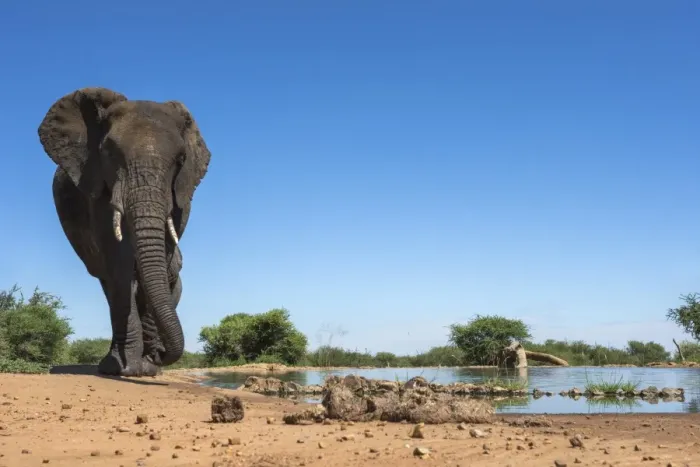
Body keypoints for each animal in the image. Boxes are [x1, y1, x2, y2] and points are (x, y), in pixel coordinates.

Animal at [37, 87, 211, 376]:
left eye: (181, 159)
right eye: (108, 154)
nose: (160, 355)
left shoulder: (182, 192)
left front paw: (146, 369)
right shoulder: (96, 188)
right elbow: (117, 260)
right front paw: (127, 369)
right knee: (108, 282)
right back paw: (111, 365)